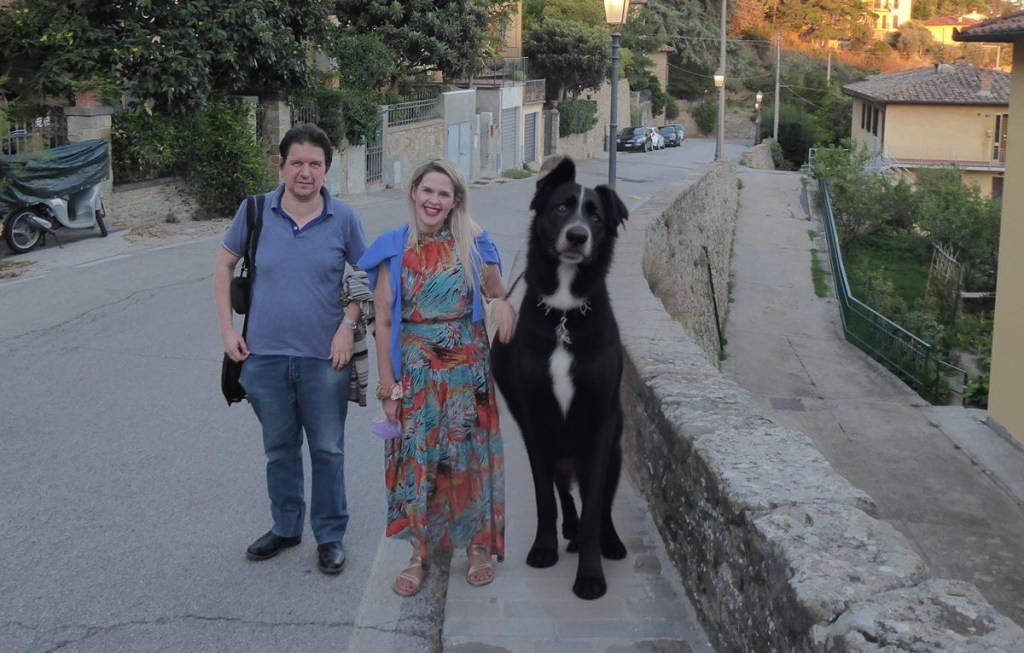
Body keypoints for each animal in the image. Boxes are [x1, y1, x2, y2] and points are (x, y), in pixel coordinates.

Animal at [491, 156, 629, 600]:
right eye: (562, 207)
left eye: (596, 216)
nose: (578, 235)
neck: (564, 314)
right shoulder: (534, 421)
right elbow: (544, 499)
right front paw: (545, 547)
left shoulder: (602, 421)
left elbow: (595, 507)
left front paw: (590, 573)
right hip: (555, 454)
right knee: (562, 493)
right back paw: (567, 528)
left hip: (613, 452)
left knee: (601, 504)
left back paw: (610, 540)